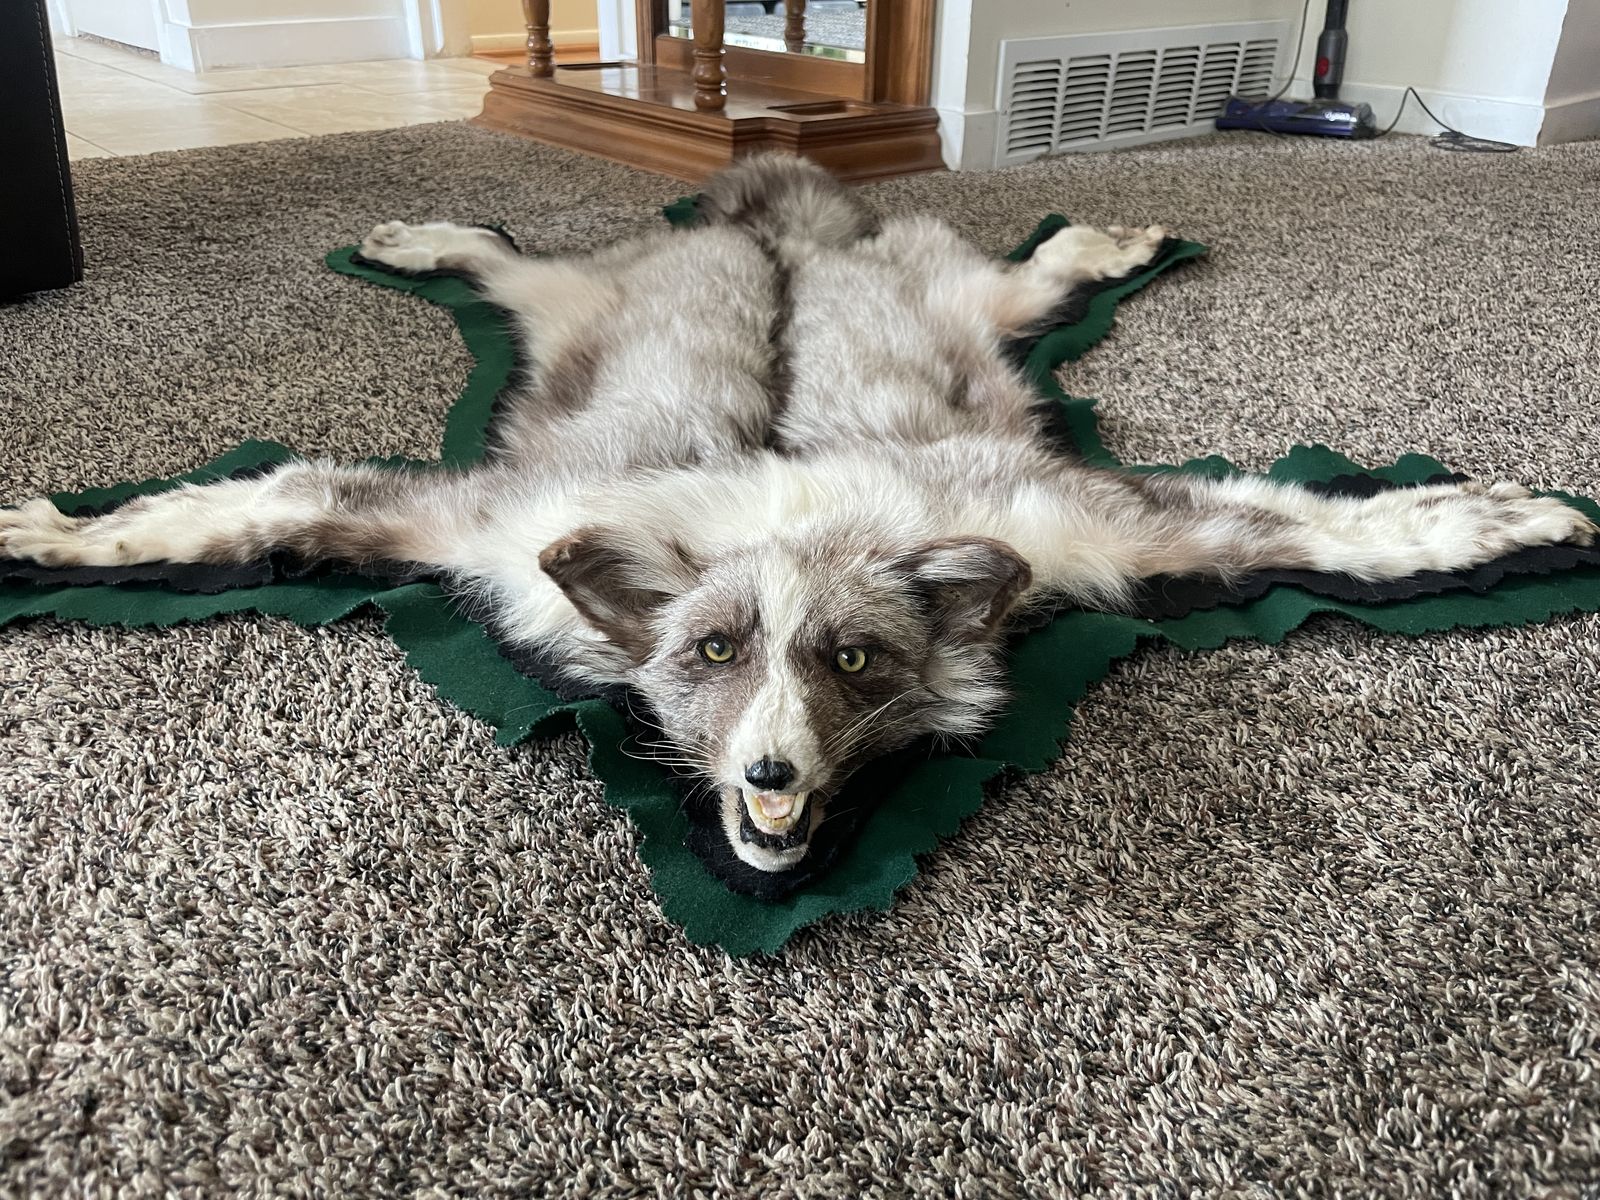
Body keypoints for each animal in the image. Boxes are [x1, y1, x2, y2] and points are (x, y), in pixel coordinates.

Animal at [2, 154, 1593, 880]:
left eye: (854, 662)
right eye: (709, 652)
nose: (769, 777)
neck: (789, 513)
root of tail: (785, 220)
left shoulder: (1068, 517)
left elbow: (1288, 527)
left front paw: (1494, 523)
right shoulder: (488, 521)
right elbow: (263, 503)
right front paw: (55, 537)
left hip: (964, 307)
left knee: (1027, 276)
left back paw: (1102, 241)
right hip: (578, 307)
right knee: (512, 264)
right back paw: (422, 239)